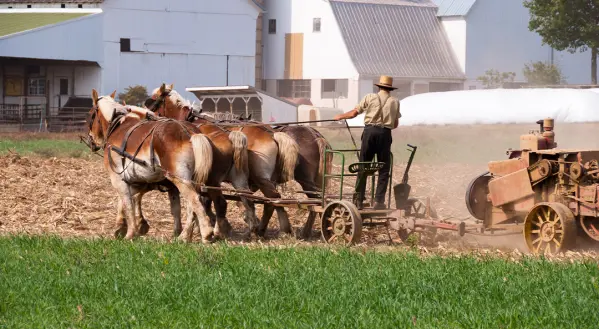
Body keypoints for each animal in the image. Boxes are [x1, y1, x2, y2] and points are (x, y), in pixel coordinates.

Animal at [150, 82, 300, 236]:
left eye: (153, 99)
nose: (149, 116)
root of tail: (272, 135)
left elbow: (204, 201)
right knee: (266, 201)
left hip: (260, 178)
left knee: (272, 200)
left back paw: (270, 229)